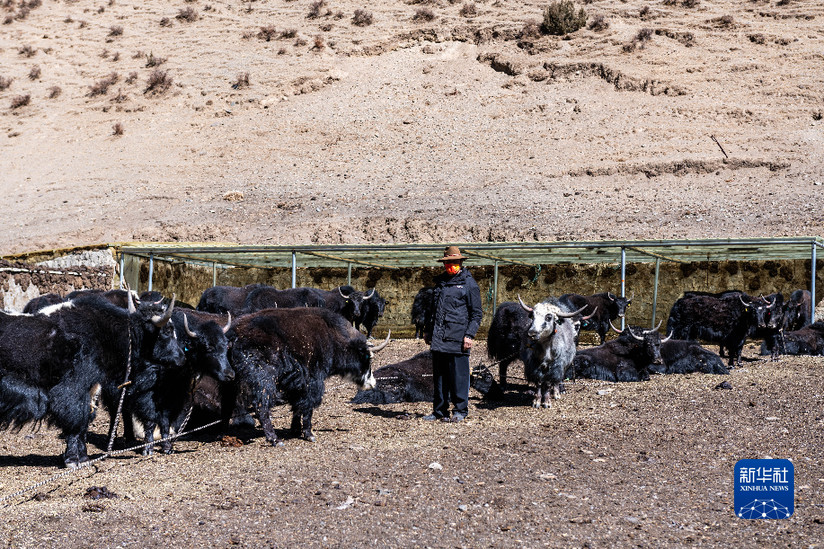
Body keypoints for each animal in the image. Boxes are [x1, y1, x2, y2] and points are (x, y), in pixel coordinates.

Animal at [0, 293, 182, 468]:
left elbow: (85, 423)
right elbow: (75, 421)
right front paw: (72, 460)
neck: (104, 336)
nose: (182, 357)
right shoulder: (73, 389)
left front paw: (83, 458)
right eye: (167, 331)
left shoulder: (92, 389)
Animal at [226, 308, 388, 444]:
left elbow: (297, 406)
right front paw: (309, 434)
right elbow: (308, 406)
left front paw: (295, 430)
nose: (372, 383)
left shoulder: (296, 384)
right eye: (367, 357)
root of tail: (233, 336)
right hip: (264, 381)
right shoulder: (312, 381)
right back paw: (274, 439)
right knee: (262, 406)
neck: (333, 338)